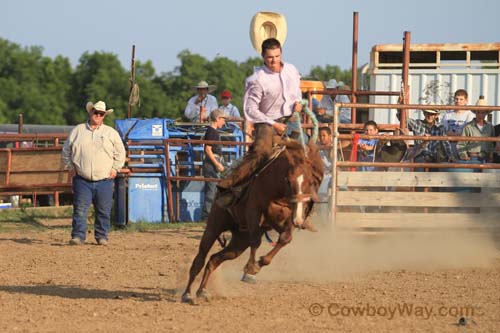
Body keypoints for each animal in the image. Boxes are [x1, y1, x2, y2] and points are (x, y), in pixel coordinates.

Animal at [182, 139, 322, 304]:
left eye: (310, 182)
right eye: (288, 180)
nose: (299, 220)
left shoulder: (286, 219)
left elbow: (285, 239)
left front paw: (260, 263)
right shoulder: (253, 211)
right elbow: (256, 241)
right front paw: (250, 270)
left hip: (239, 242)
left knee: (214, 259)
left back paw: (202, 291)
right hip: (214, 225)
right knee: (200, 259)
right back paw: (187, 294)